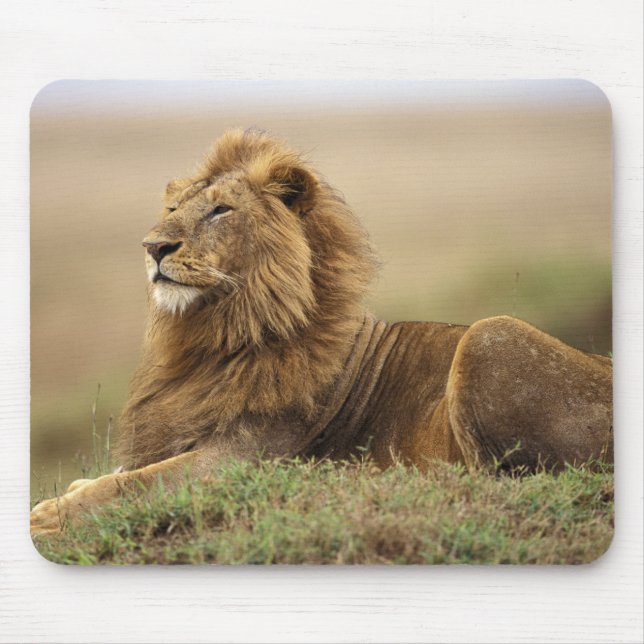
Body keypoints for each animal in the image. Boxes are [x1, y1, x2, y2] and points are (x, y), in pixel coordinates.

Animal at [30, 128, 613, 536]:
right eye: (173, 208)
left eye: (220, 210)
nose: (152, 247)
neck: (214, 337)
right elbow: (114, 475)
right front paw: (64, 493)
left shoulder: (244, 458)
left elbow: (130, 485)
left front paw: (47, 516)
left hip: (490, 335)